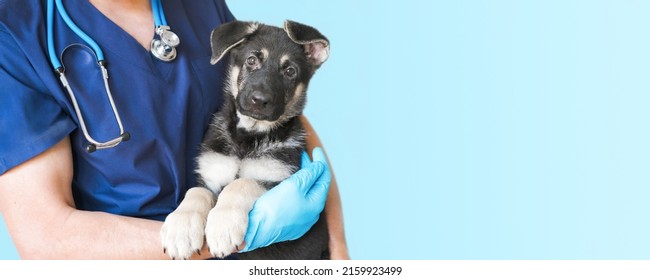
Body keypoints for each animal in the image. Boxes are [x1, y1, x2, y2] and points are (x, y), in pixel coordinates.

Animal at [158, 19, 330, 260]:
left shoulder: (276, 177)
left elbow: (241, 183)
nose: (259, 100)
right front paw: (181, 228)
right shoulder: (211, 176)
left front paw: (223, 225)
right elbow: (196, 192)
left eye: (290, 71)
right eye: (251, 60)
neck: (248, 136)